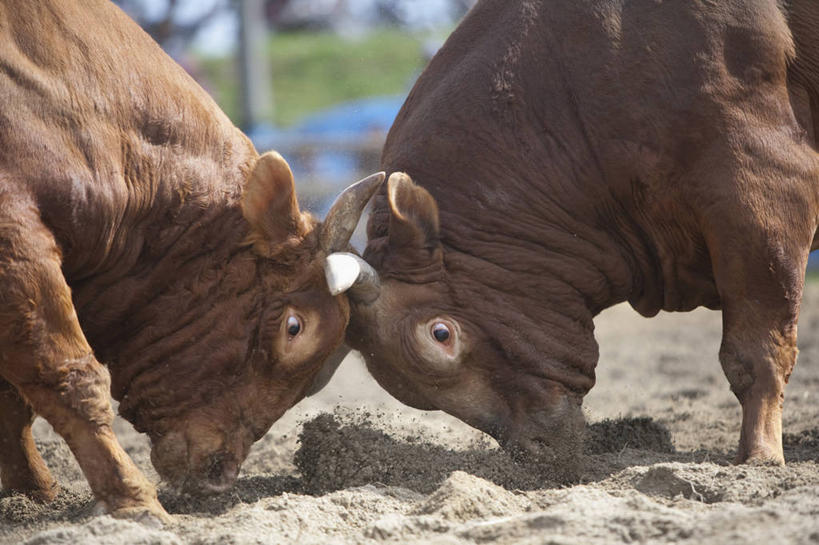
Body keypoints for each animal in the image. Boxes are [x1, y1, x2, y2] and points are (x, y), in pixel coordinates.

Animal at [0, 0, 384, 520]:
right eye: (294, 327)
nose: (220, 473)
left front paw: (32, 491)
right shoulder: (16, 237)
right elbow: (67, 374)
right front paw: (133, 500)